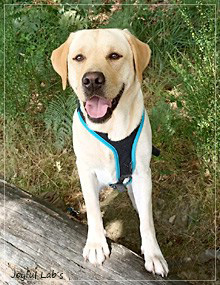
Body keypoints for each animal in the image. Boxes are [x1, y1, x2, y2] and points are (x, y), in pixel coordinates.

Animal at [51, 28, 168, 276]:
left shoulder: (142, 174)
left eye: (114, 56)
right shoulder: (85, 172)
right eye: (78, 57)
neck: (109, 129)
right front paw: (96, 244)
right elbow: (94, 209)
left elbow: (147, 221)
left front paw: (154, 254)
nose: (92, 80)